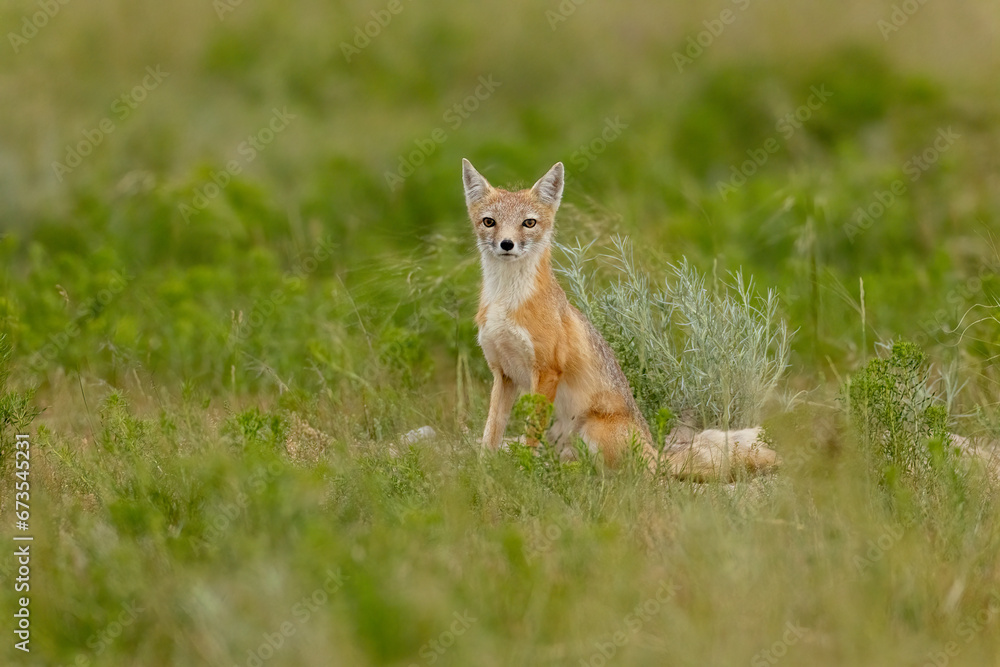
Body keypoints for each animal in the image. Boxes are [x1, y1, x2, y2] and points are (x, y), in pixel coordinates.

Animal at [462, 158, 661, 471]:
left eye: (529, 223)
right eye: (489, 222)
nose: (507, 244)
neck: (506, 302)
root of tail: (658, 454)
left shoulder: (547, 370)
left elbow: (530, 433)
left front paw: (524, 469)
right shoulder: (503, 373)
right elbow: (491, 432)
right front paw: (484, 469)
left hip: (590, 430)